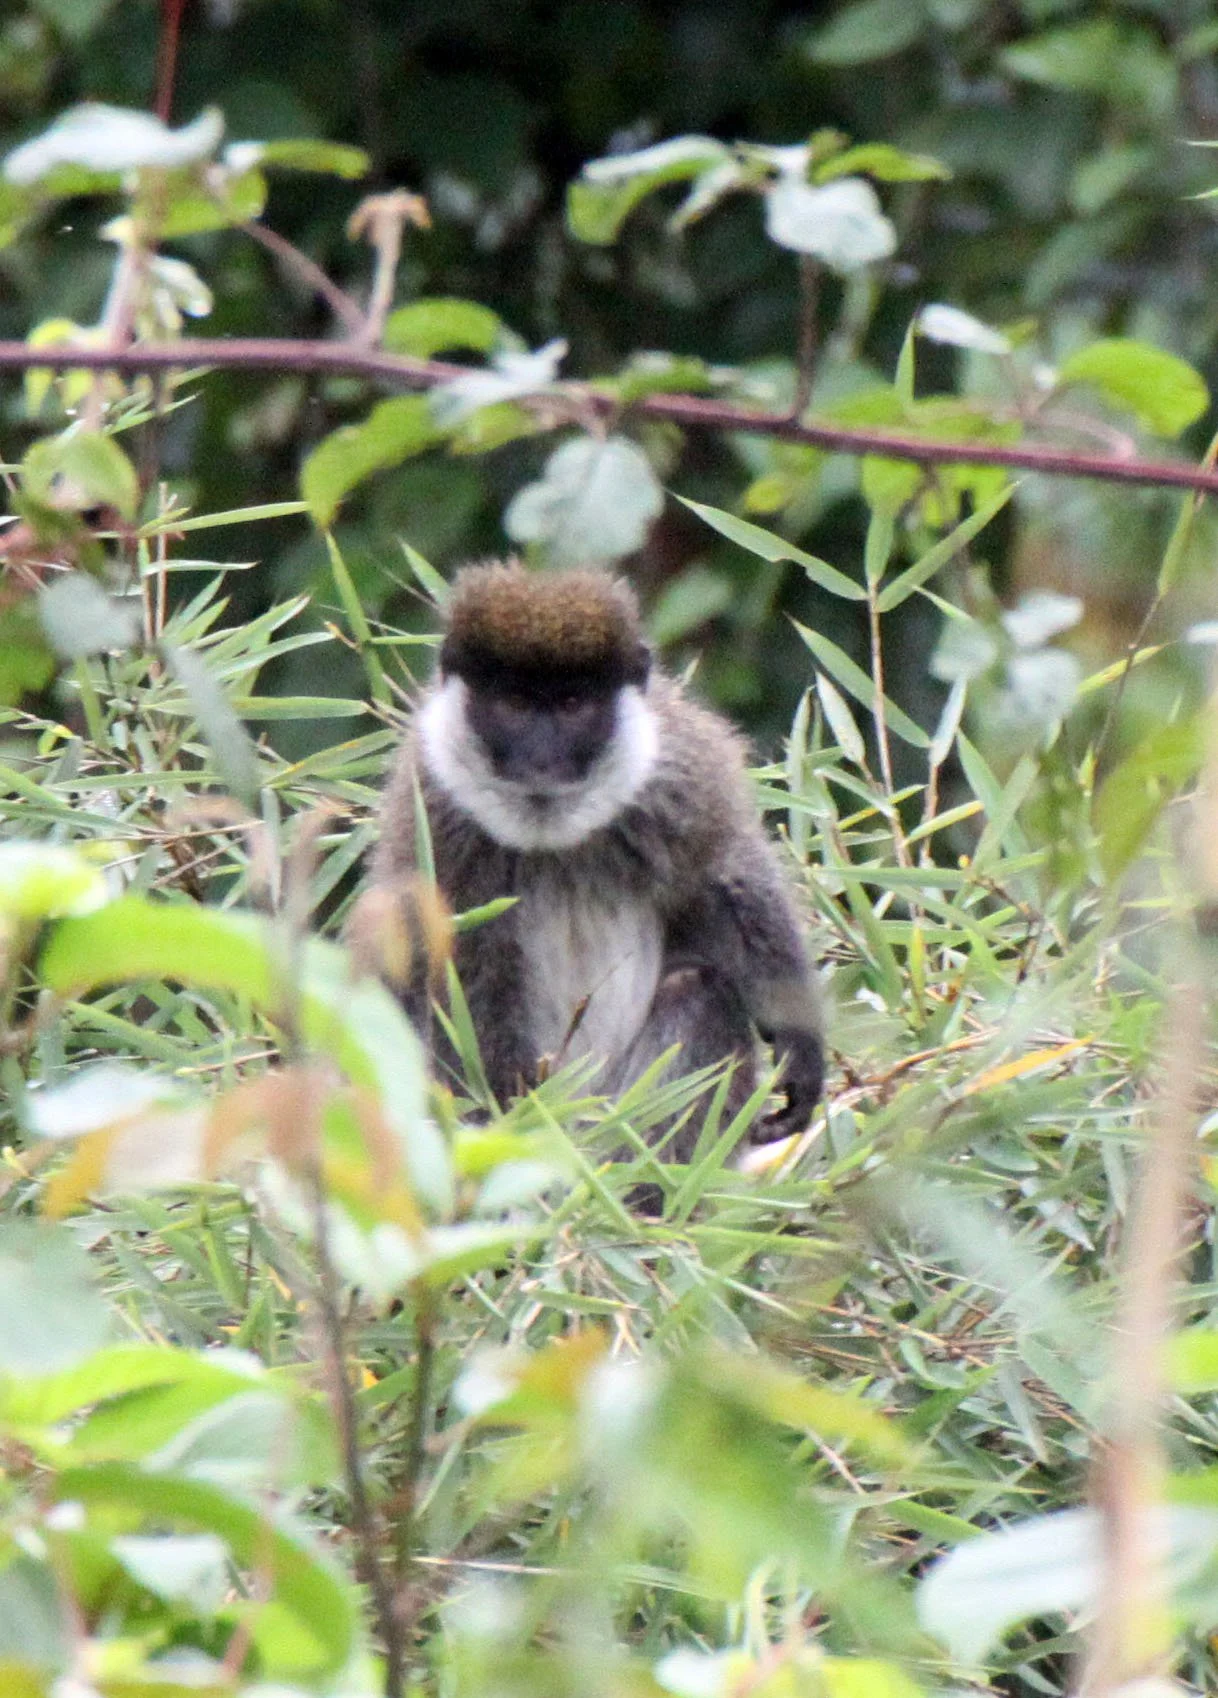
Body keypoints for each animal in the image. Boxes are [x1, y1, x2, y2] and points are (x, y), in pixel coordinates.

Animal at [363, 560, 824, 1169]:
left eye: (572, 705)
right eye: (514, 706)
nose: (541, 760)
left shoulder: (681, 773)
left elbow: (728, 873)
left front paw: (802, 1045)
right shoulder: (435, 814)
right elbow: (454, 988)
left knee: (698, 990)